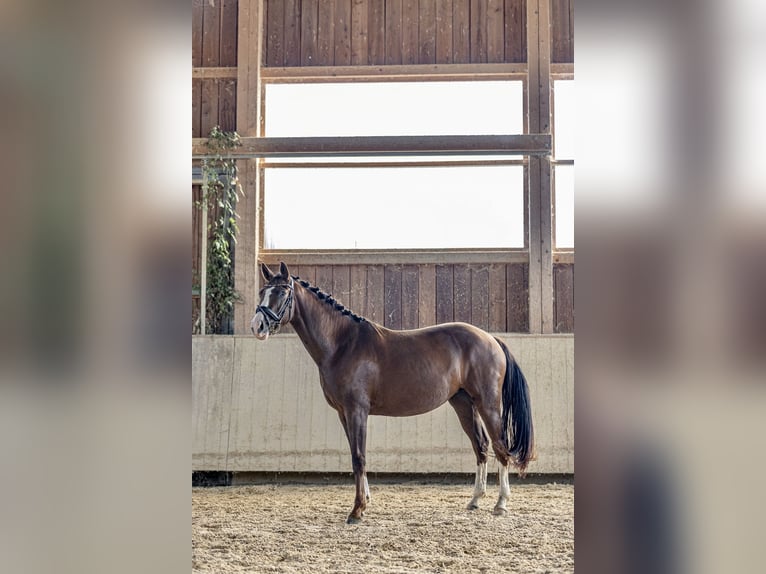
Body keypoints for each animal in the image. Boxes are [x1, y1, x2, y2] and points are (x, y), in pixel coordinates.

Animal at [251, 262, 535, 524]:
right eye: (262, 292)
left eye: (282, 292)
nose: (257, 326)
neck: (342, 343)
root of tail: (491, 339)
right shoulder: (344, 413)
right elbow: (355, 454)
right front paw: (365, 501)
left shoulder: (357, 410)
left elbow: (359, 457)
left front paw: (357, 510)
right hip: (464, 403)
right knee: (481, 446)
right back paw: (475, 500)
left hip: (488, 403)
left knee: (500, 446)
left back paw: (501, 503)